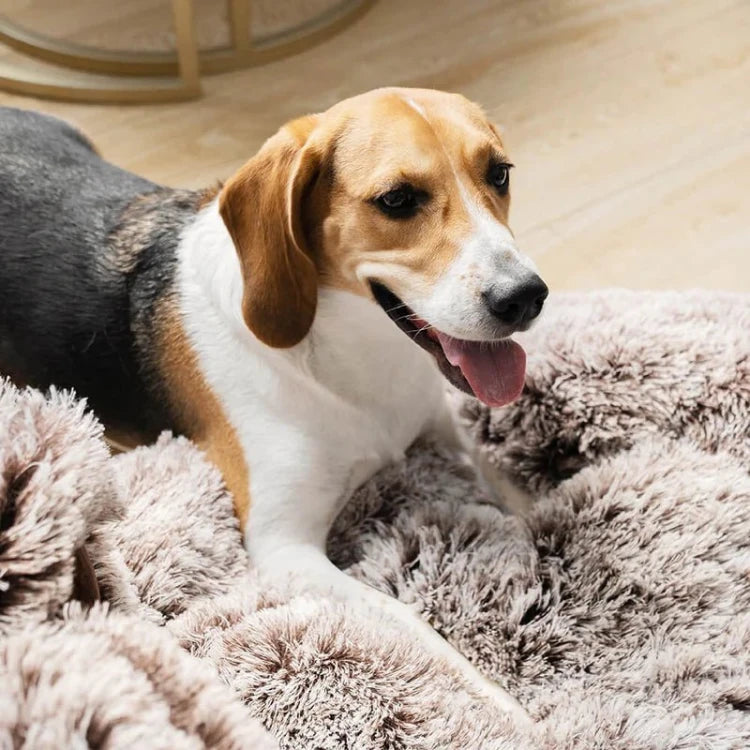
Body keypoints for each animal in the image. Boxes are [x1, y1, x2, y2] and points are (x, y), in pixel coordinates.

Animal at [1, 89, 552, 728]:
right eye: (397, 200)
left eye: (499, 173)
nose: (526, 297)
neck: (353, 354)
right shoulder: (283, 548)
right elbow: (411, 623)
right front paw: (509, 712)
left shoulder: (441, 426)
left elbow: (513, 483)